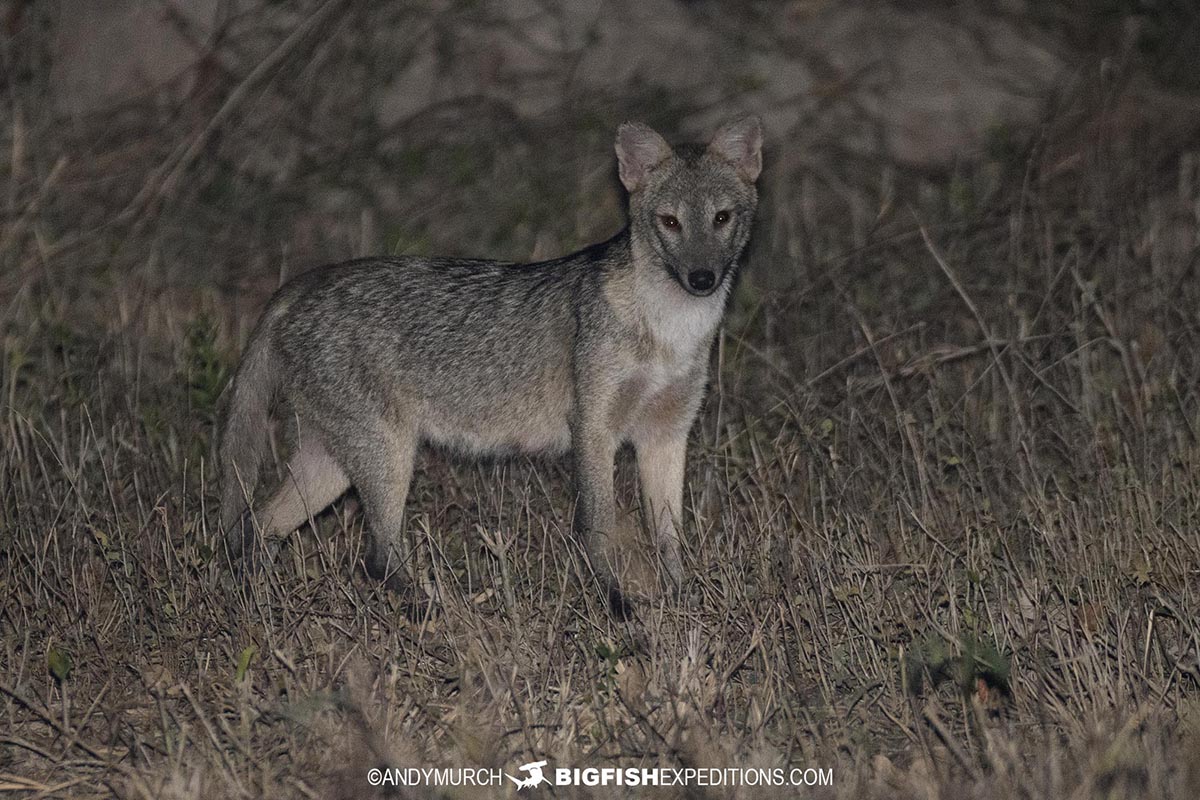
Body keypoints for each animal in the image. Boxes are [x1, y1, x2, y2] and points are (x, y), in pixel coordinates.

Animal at [219, 116, 763, 607]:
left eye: (721, 218)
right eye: (670, 222)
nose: (701, 278)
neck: (670, 331)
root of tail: (303, 283)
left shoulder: (666, 435)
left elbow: (670, 537)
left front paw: (683, 600)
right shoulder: (593, 429)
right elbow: (599, 526)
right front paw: (618, 605)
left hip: (336, 467)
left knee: (259, 526)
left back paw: (253, 604)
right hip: (386, 457)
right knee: (374, 557)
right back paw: (437, 614)